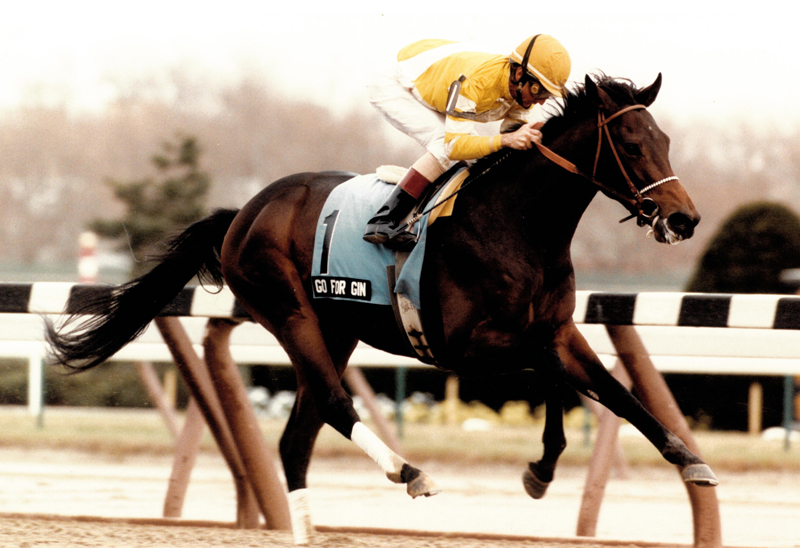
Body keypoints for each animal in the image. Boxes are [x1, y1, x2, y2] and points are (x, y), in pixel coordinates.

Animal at [47, 73, 716, 544]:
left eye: (665, 140)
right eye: (631, 143)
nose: (684, 218)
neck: (518, 226)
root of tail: (244, 212)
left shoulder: (554, 331)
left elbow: (612, 391)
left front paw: (687, 460)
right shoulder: (465, 345)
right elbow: (553, 380)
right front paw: (541, 468)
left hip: (335, 328)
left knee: (296, 440)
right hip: (288, 311)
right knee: (334, 405)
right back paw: (409, 472)